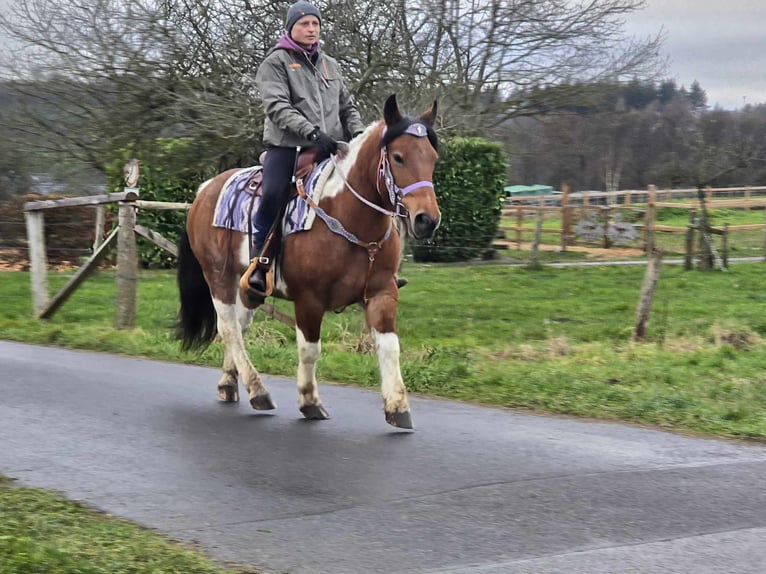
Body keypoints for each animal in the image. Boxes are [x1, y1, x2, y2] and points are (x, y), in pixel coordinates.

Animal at [174, 93, 438, 428]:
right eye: (399, 157)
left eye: (433, 158)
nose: (427, 220)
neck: (347, 217)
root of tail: (205, 189)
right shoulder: (309, 300)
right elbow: (310, 349)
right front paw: (310, 401)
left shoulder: (382, 293)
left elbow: (390, 348)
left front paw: (398, 407)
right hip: (218, 275)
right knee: (229, 328)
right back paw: (257, 391)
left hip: (249, 286)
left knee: (241, 326)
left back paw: (230, 382)